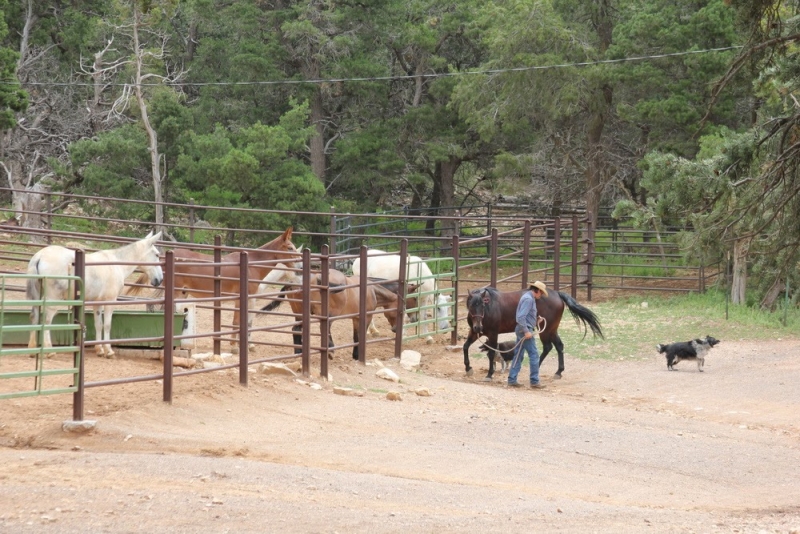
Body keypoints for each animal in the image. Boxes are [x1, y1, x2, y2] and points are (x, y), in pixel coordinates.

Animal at [27, 231, 164, 360]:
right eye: (157, 255)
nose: (160, 279)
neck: (117, 264)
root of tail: (39, 256)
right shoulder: (110, 301)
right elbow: (107, 325)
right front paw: (109, 351)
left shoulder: (97, 303)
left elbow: (99, 324)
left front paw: (99, 350)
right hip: (53, 301)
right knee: (46, 321)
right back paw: (49, 351)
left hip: (37, 298)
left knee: (35, 317)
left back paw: (32, 349)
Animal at [172, 225, 300, 348]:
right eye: (290, 248)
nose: (300, 266)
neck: (251, 266)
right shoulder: (245, 299)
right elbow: (239, 321)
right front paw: (235, 346)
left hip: (183, 294)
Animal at [266, 270, 416, 362]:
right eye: (413, 299)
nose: (396, 329)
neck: (371, 290)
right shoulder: (365, 318)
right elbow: (360, 337)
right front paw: (358, 356)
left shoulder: (355, 319)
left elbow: (356, 337)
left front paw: (355, 355)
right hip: (328, 315)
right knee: (324, 329)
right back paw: (330, 350)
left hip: (300, 315)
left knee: (296, 330)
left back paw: (299, 352)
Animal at [460, 288, 604, 382]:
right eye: (471, 306)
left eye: (482, 306)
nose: (478, 326)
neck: (489, 309)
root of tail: (556, 294)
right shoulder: (474, 333)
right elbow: (465, 346)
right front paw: (468, 368)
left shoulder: (493, 334)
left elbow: (491, 353)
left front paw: (489, 375)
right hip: (551, 330)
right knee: (558, 346)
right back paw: (558, 372)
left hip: (546, 330)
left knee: (548, 347)